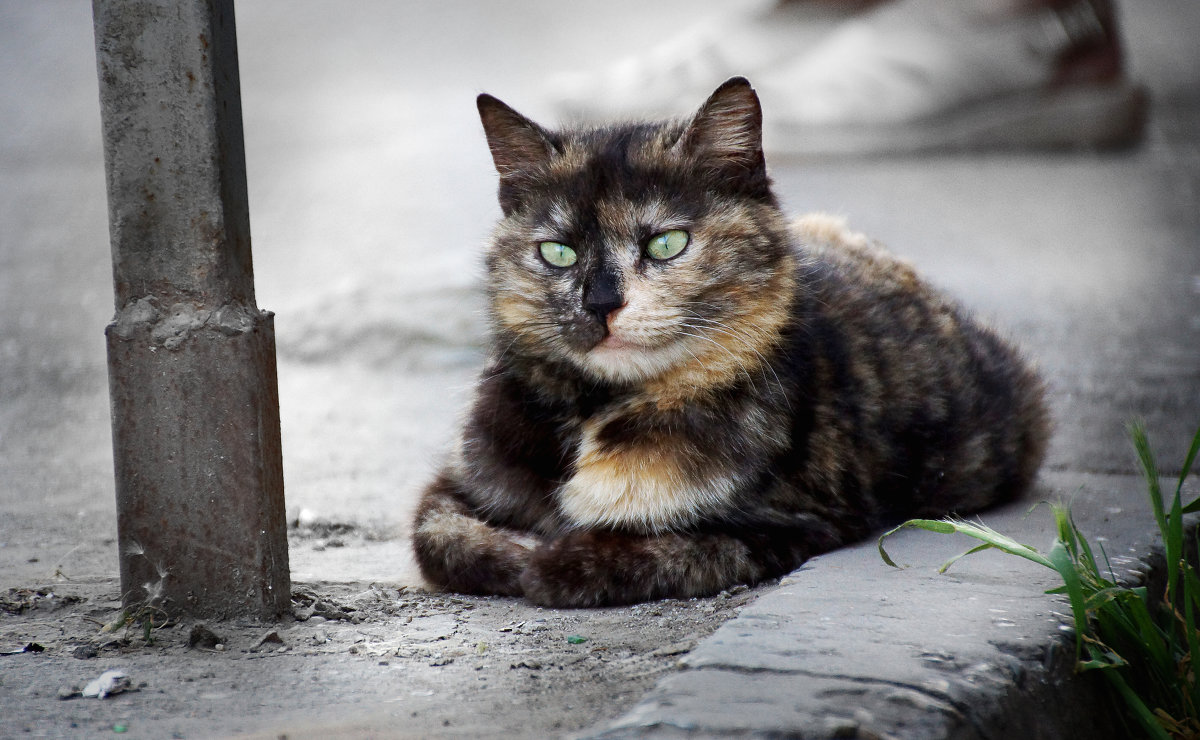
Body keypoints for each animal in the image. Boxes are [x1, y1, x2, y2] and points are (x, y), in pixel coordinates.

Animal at [408, 74, 1046, 606]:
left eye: (667, 243)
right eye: (557, 251)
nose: (601, 303)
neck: (595, 415)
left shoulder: (788, 524)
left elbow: (658, 552)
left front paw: (552, 558)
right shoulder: (454, 484)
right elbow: (440, 538)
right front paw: (518, 547)